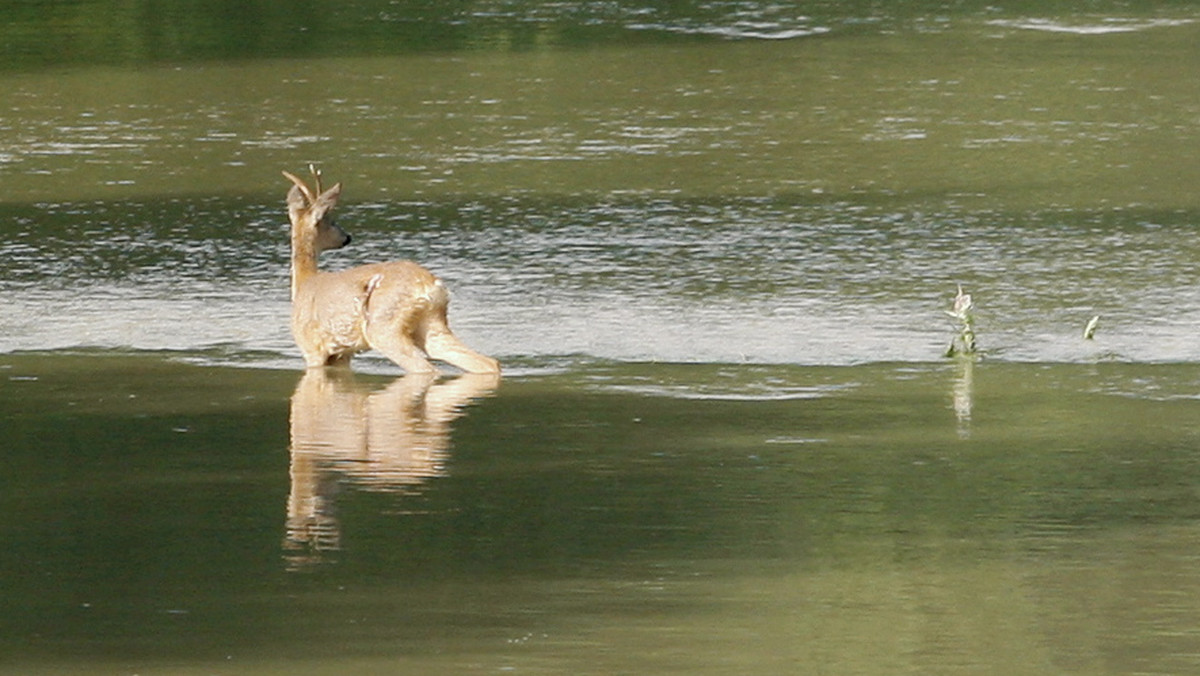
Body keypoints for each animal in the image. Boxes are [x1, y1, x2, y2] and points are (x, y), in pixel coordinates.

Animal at [283, 165, 499, 374]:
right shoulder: (343, 353)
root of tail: (431, 285)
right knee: (487, 363)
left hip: (384, 328)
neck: (303, 282)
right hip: (431, 325)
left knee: (427, 368)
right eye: (333, 221)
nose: (347, 237)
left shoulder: (311, 346)